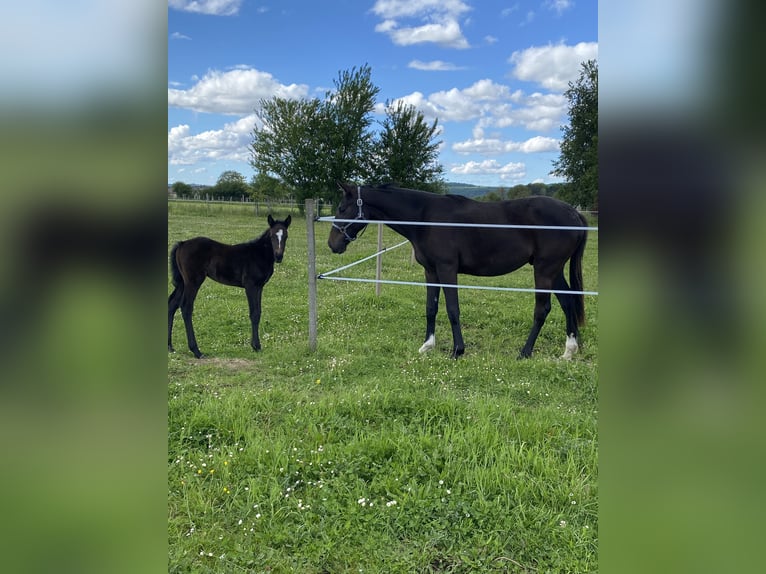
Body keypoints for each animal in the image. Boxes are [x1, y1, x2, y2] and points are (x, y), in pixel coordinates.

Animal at [169, 215, 292, 360]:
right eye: (272, 235)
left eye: (286, 236)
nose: (279, 256)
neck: (259, 254)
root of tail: (182, 244)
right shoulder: (251, 286)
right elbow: (254, 313)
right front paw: (256, 346)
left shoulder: (259, 287)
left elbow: (259, 312)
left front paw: (256, 345)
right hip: (193, 282)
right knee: (186, 307)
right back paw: (196, 351)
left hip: (182, 282)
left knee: (172, 304)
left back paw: (170, 347)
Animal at [328, 184, 588, 360]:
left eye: (342, 208)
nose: (333, 244)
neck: (425, 218)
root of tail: (574, 214)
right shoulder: (431, 272)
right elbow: (431, 308)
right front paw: (427, 346)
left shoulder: (447, 269)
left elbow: (453, 309)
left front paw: (457, 351)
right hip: (554, 271)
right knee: (568, 302)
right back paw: (569, 351)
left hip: (545, 270)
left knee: (542, 310)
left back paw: (525, 352)